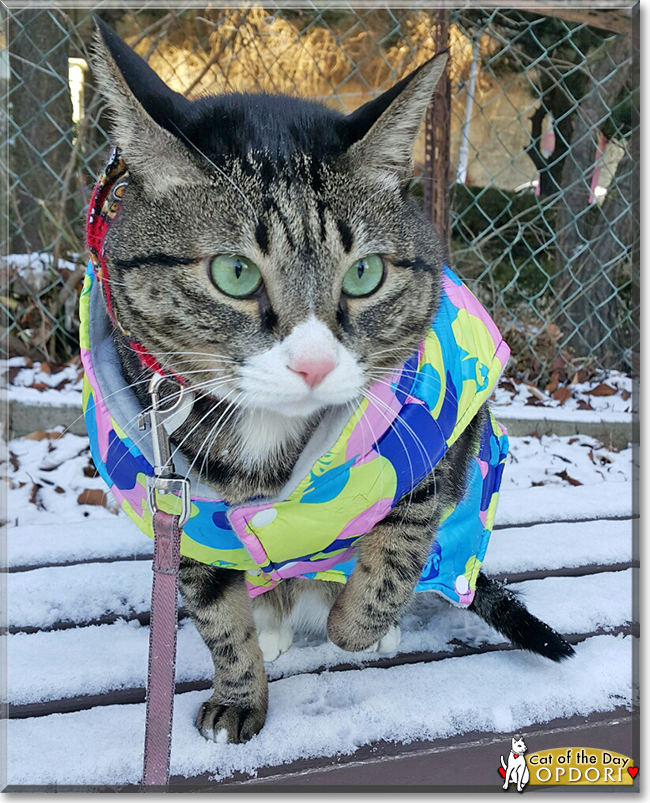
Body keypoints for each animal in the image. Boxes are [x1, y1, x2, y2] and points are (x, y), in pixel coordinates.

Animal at [92, 17, 572, 748]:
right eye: (234, 273)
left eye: (365, 274)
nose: (314, 363)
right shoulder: (181, 502)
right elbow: (216, 616)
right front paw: (239, 693)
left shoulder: (433, 434)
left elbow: (399, 546)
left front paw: (358, 627)